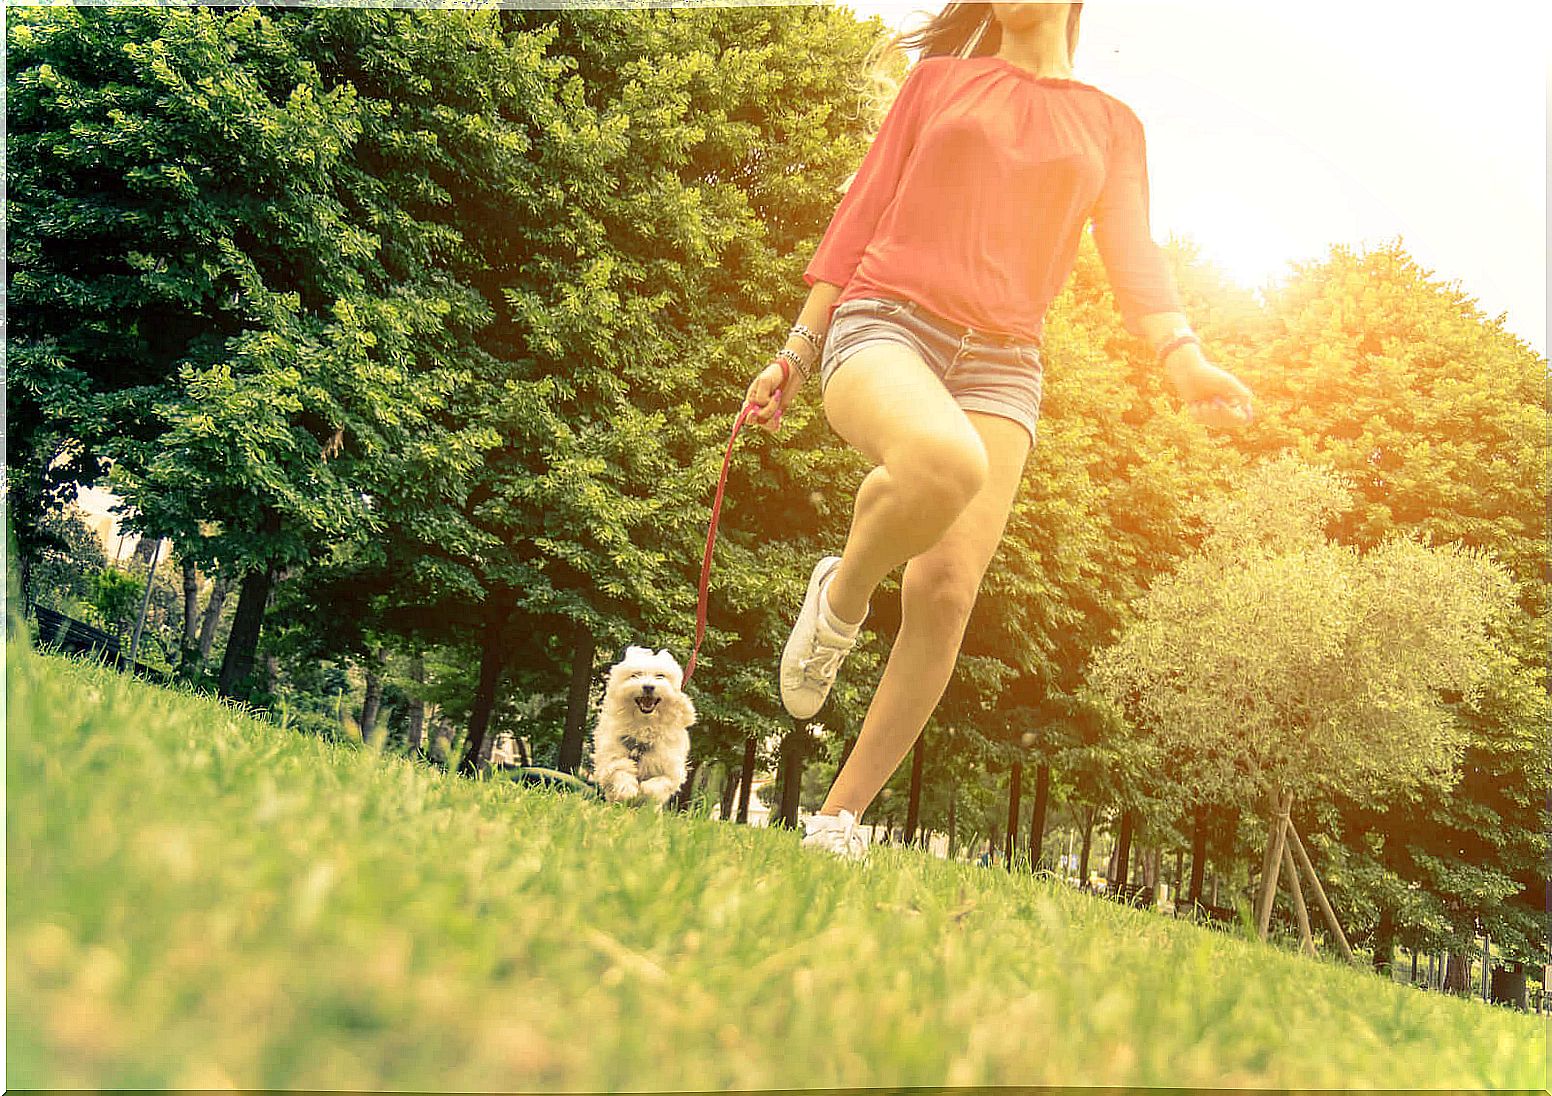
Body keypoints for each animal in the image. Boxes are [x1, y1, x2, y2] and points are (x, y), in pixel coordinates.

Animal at [589, 639, 695, 801]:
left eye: (660, 676)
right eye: (636, 675)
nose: (648, 687)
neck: (645, 724)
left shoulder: (672, 770)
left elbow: (657, 784)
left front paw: (644, 792)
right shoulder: (610, 757)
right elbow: (619, 769)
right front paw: (627, 789)